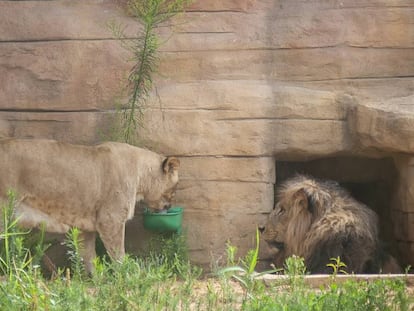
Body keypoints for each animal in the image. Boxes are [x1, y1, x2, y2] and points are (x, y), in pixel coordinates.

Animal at [0, 139, 181, 272]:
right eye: (174, 188)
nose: (169, 206)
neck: (141, 177)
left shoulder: (84, 229)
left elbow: (89, 257)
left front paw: (97, 280)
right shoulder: (110, 220)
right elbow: (118, 254)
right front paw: (125, 276)